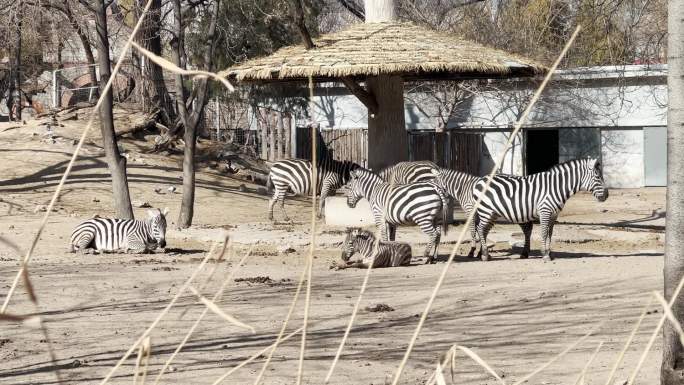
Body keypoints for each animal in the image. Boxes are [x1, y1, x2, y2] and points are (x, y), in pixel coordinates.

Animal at [472, 157, 608, 260]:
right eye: (598, 177)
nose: (607, 195)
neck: (556, 187)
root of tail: (480, 179)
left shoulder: (554, 215)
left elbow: (550, 234)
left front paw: (549, 253)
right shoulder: (545, 211)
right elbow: (543, 233)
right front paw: (545, 255)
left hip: (492, 214)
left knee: (483, 231)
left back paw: (484, 254)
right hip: (486, 212)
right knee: (480, 229)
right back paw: (485, 255)